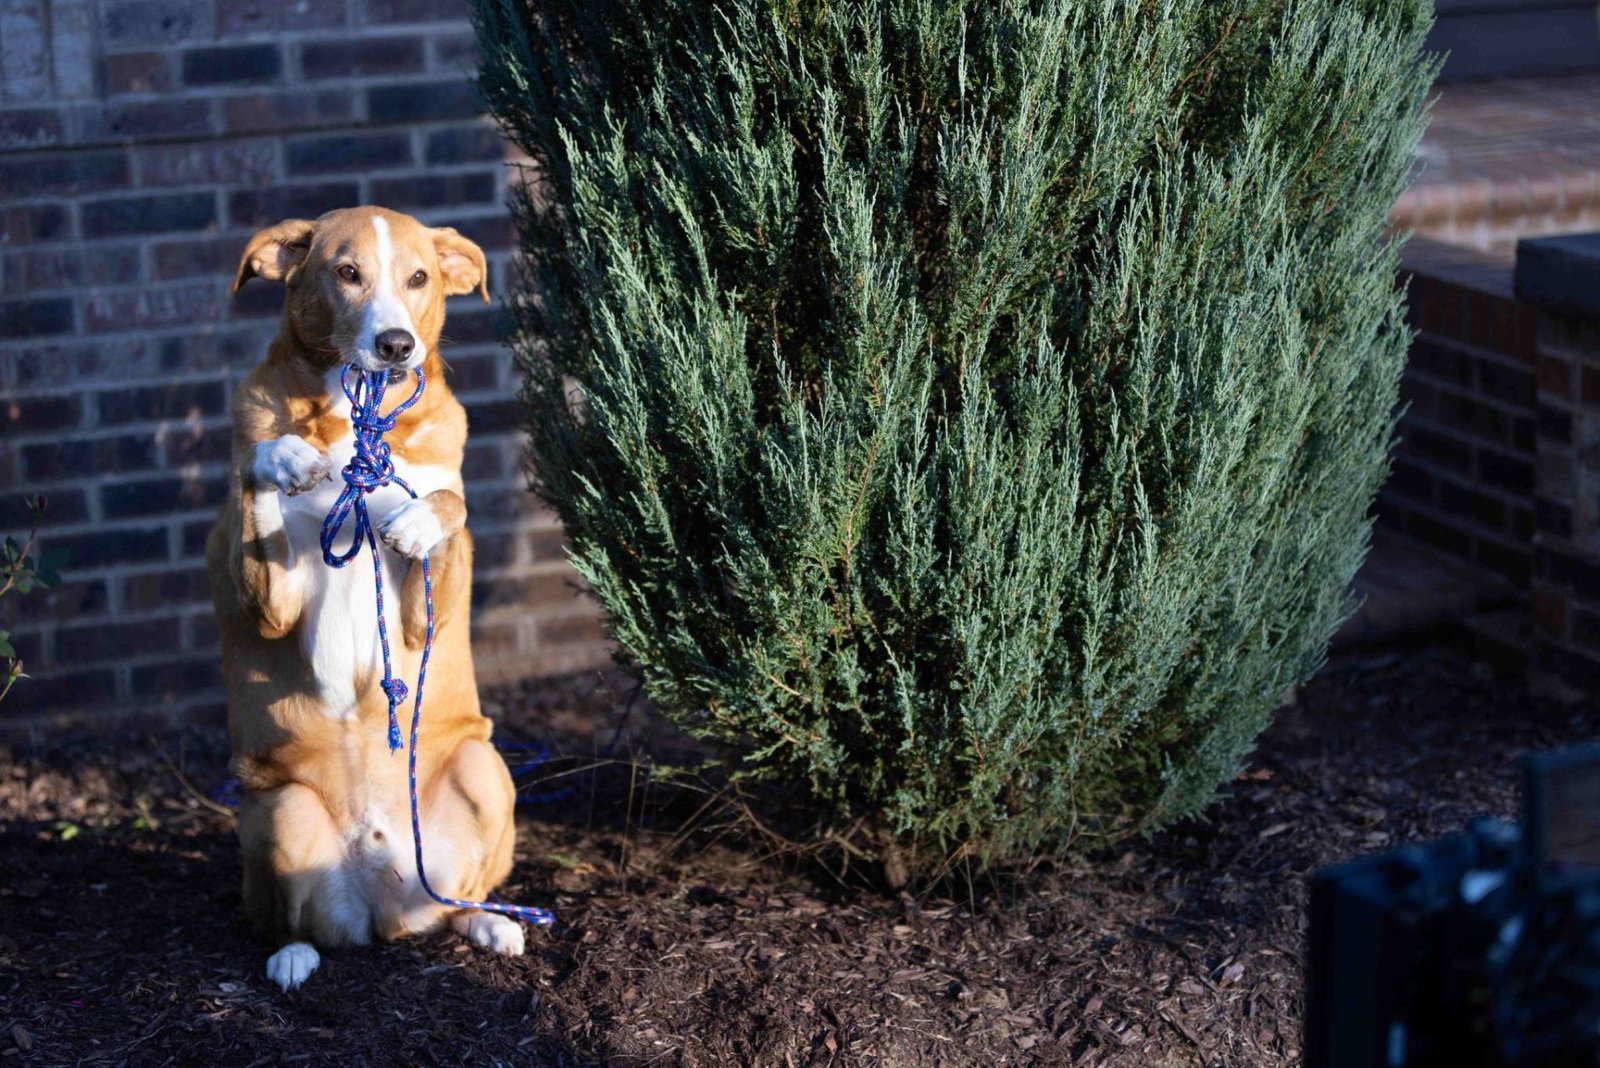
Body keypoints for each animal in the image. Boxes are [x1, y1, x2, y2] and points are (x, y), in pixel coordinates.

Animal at [204, 204, 518, 991]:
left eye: (420, 278)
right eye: (346, 272)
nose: (396, 343)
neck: (354, 424)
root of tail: (386, 904)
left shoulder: (425, 605)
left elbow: (449, 501)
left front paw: (418, 520)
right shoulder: (271, 601)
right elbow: (261, 469)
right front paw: (285, 458)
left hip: (487, 770)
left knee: (460, 898)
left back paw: (491, 923)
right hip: (278, 812)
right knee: (289, 924)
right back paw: (290, 957)